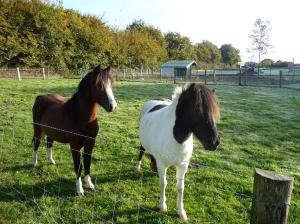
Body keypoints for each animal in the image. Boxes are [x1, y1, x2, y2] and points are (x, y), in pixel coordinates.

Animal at [31, 65, 117, 194]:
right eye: (98, 85)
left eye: (111, 84)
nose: (113, 106)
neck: (80, 117)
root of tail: (40, 97)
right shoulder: (75, 146)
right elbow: (78, 166)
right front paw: (80, 190)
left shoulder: (90, 143)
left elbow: (87, 163)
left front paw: (90, 184)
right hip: (38, 130)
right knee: (36, 144)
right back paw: (34, 162)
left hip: (50, 131)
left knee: (49, 143)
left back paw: (50, 160)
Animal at [137, 83, 219, 220]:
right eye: (197, 109)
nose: (214, 142)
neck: (176, 137)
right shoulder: (162, 164)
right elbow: (163, 184)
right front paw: (162, 207)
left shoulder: (183, 165)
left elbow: (180, 187)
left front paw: (181, 213)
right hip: (143, 143)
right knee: (141, 150)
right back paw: (137, 167)